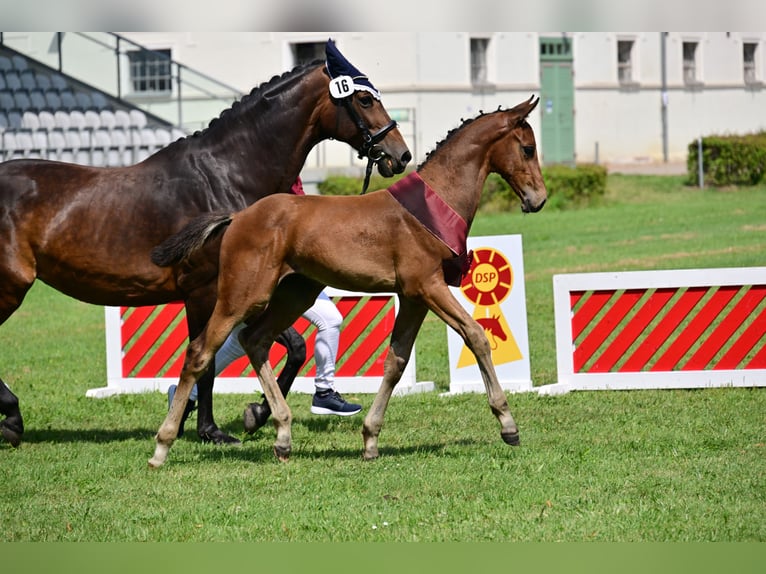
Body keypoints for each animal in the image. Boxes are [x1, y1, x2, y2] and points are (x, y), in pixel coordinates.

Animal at [0, 42, 411, 448]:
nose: (401, 154)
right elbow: (209, 360)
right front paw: (211, 430)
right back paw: (13, 418)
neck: (226, 175)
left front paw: (252, 414)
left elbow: (286, 347)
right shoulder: (206, 292)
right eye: (364, 99)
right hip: (11, 288)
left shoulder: (239, 296)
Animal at [147, 96, 546, 468]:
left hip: (294, 294)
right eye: (527, 148)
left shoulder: (413, 297)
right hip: (243, 295)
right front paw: (508, 425)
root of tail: (238, 216)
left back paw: (282, 435)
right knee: (201, 352)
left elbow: (396, 361)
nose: (538, 199)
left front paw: (370, 439)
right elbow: (476, 336)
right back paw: (163, 445)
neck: (434, 205)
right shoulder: (428, 287)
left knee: (254, 340)